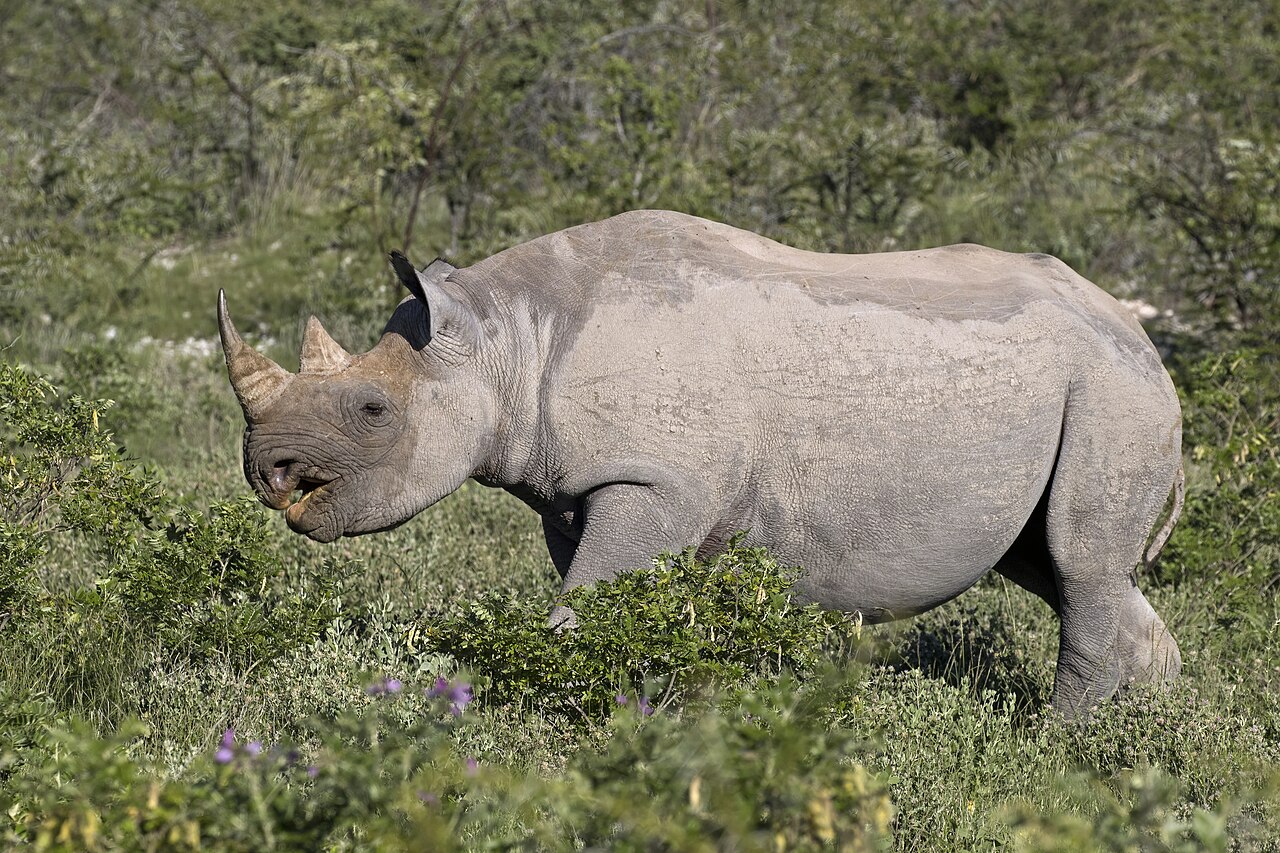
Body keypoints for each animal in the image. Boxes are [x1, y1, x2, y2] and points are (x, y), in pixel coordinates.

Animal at [217, 209, 1183, 716]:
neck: (506, 338)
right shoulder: (579, 491)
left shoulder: (651, 476)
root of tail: (1141, 335)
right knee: (1059, 566)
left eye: (373, 410)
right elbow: (617, 599)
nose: (269, 471)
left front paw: (545, 711)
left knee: (1078, 565)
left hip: (1113, 391)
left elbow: (583, 606)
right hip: (1096, 385)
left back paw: (1055, 739)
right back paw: (1145, 736)